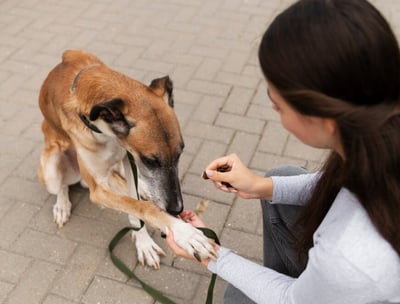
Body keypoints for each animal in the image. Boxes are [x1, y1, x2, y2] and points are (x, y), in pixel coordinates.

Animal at [37, 50, 216, 268]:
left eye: (180, 153)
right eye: (150, 161)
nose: (177, 209)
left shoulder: (129, 161)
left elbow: (134, 204)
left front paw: (144, 242)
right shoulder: (99, 189)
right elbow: (141, 206)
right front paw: (184, 233)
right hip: (51, 168)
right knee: (62, 186)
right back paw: (62, 206)